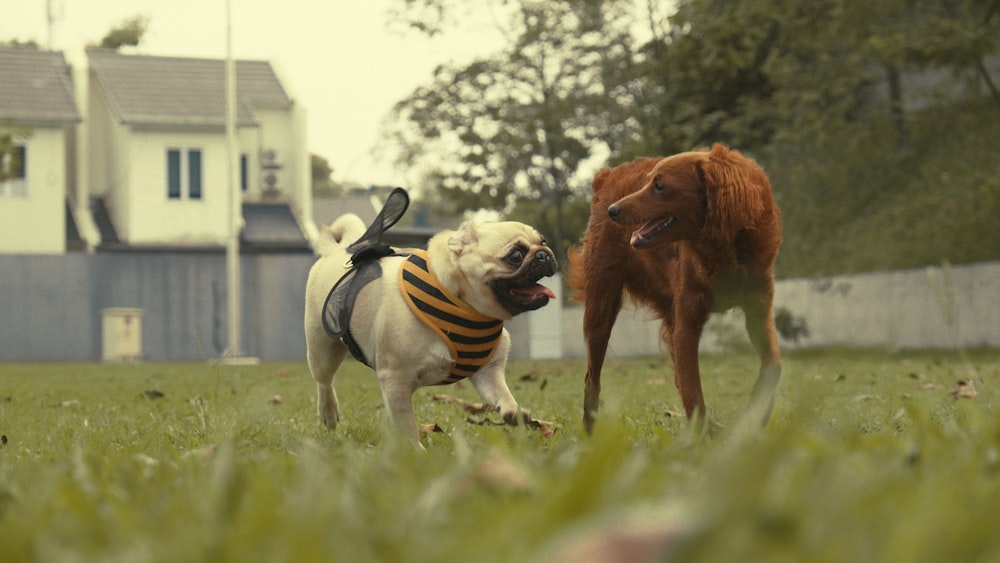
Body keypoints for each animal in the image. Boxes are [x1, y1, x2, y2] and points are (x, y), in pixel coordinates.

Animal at [304, 214, 560, 448]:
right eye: (515, 256)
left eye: (544, 241)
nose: (544, 253)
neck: (462, 304)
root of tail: (337, 251)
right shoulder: (395, 379)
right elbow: (407, 424)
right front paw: (415, 453)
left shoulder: (488, 373)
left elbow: (503, 397)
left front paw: (516, 414)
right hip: (324, 349)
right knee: (324, 381)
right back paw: (329, 412)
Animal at [572, 144, 780, 432]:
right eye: (648, 181)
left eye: (660, 186)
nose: (613, 211)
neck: (722, 247)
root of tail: (605, 177)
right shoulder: (687, 324)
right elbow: (693, 390)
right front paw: (706, 434)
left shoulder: (758, 311)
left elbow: (773, 366)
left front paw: (755, 415)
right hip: (601, 311)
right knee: (592, 379)